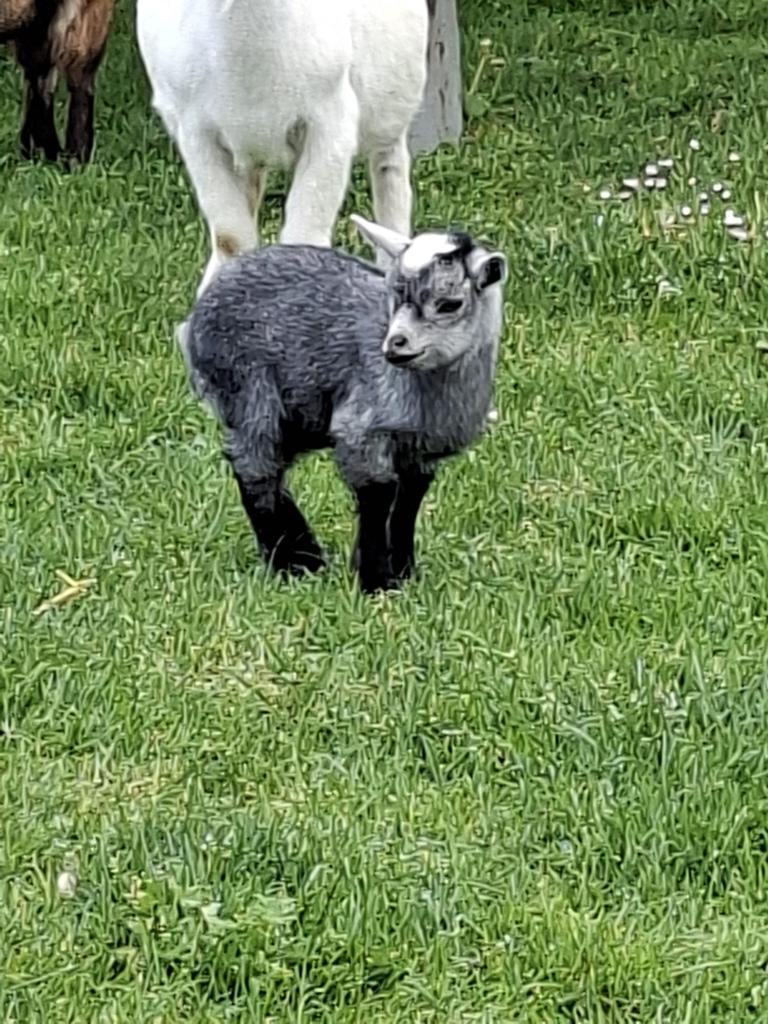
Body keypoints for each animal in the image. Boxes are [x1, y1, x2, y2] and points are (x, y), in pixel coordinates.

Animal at [136, 0, 430, 296]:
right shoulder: (196, 133)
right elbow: (230, 237)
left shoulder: (330, 124)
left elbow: (304, 232)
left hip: (390, 114)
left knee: (390, 179)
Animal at [176, 215, 508, 594]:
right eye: (394, 293)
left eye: (449, 303)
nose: (395, 344)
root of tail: (194, 321)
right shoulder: (361, 428)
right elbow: (378, 493)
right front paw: (377, 582)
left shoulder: (418, 448)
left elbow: (409, 498)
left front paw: (405, 570)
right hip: (247, 386)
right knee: (255, 467)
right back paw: (290, 563)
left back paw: (306, 555)